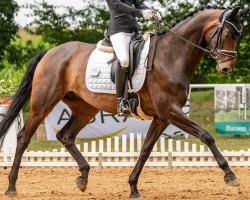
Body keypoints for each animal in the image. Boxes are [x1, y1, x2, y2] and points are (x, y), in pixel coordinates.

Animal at [0, 6, 248, 198]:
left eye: (239, 36)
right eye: (227, 33)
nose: (226, 69)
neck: (171, 55)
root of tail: (51, 51)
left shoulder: (162, 117)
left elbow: (146, 150)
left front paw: (133, 187)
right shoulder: (170, 111)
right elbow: (206, 135)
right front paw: (230, 176)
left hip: (85, 108)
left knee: (65, 135)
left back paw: (83, 177)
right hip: (43, 103)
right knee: (23, 138)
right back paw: (12, 186)